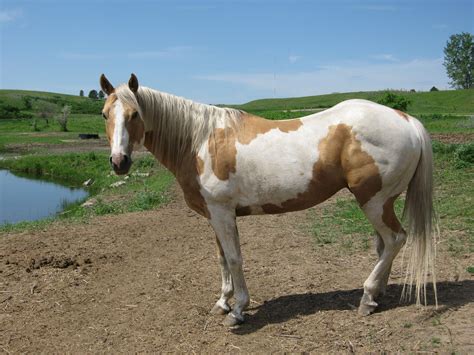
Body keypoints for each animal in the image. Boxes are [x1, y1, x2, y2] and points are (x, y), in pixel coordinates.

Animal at [99, 73, 436, 326]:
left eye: (134, 114)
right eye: (104, 114)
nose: (119, 162)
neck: (201, 141)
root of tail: (406, 120)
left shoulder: (222, 212)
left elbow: (235, 258)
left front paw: (237, 310)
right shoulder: (214, 215)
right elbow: (222, 259)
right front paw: (222, 302)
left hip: (374, 202)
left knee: (395, 240)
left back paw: (366, 298)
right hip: (381, 203)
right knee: (384, 245)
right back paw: (376, 296)